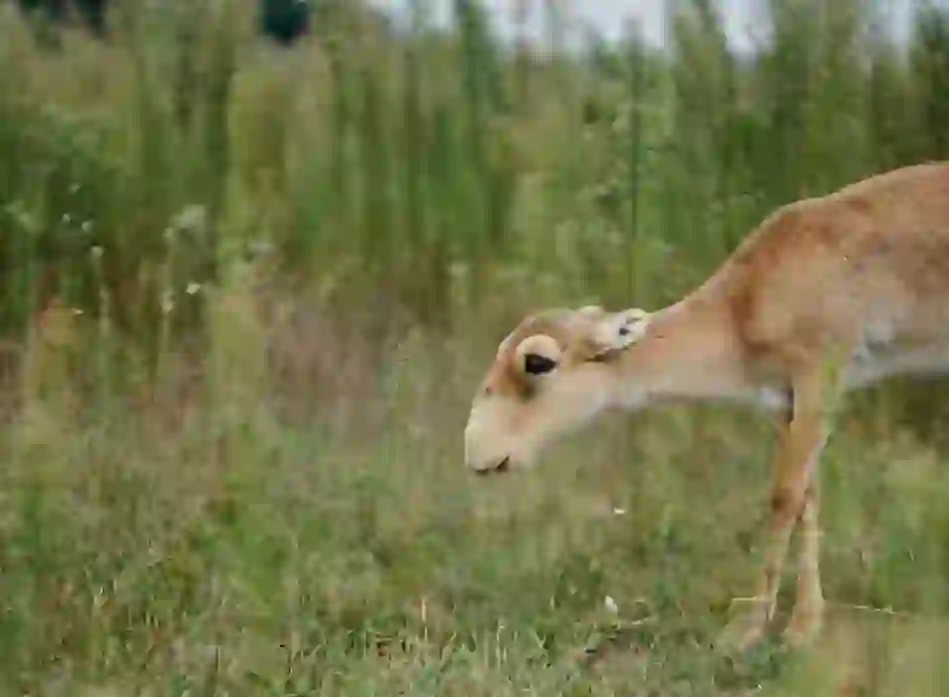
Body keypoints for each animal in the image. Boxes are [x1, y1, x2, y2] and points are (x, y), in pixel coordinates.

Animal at [462, 163, 948, 652]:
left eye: (537, 361)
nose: (477, 452)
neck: (743, 306)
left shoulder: (819, 379)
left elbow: (783, 497)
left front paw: (750, 628)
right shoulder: (782, 402)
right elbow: (807, 497)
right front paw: (805, 623)